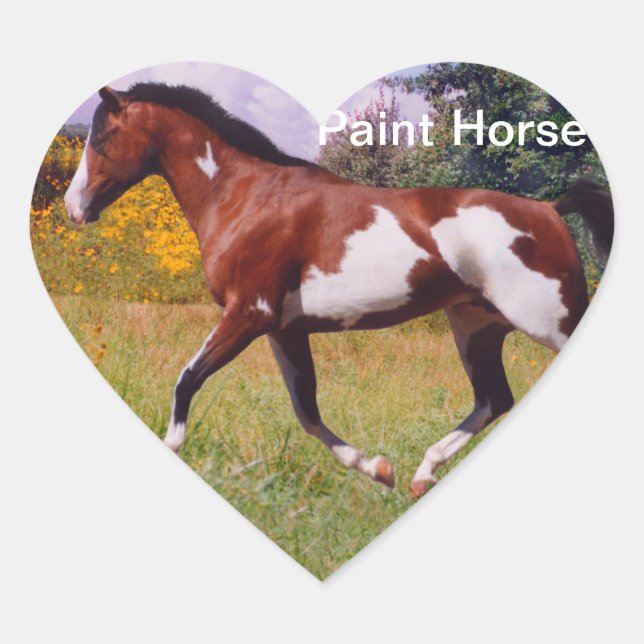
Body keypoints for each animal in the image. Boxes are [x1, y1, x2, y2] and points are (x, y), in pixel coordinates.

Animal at [64, 83, 613, 498]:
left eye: (103, 137)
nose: (74, 207)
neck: (246, 197)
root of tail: (550, 211)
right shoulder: (283, 330)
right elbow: (307, 412)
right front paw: (379, 470)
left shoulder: (247, 314)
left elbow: (187, 382)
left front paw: (173, 450)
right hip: (476, 326)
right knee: (494, 400)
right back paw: (420, 475)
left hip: (549, 320)